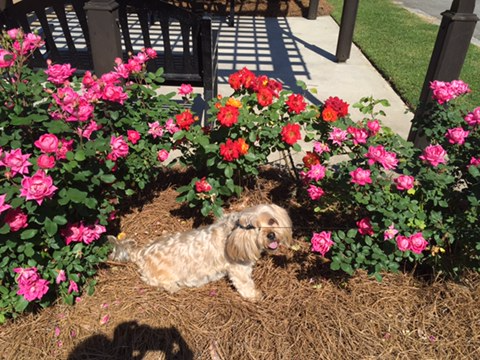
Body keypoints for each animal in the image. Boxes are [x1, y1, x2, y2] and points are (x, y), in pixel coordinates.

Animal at [108, 202, 292, 300]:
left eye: (272, 221)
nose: (271, 235)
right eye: (255, 228)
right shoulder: (239, 270)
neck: (234, 234)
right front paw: (255, 295)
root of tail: (142, 252)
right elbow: (245, 284)